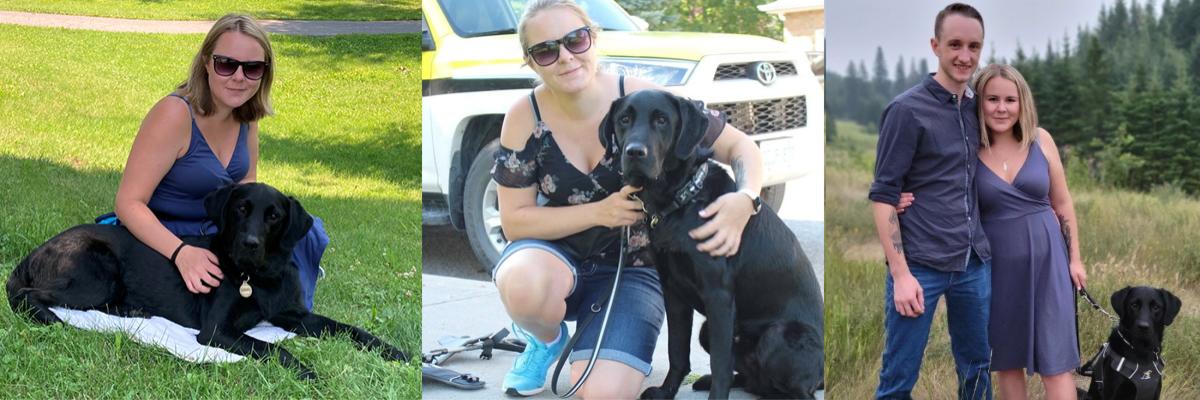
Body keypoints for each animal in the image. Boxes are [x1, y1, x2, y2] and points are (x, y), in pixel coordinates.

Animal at [4, 182, 410, 379]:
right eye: (241, 209)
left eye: (274, 216)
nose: (250, 244)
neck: (259, 277)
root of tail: (37, 250)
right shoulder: (216, 331)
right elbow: (273, 348)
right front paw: (307, 372)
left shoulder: (294, 315)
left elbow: (352, 329)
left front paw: (399, 354)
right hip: (96, 273)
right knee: (27, 295)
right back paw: (53, 318)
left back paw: (131, 311)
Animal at [600, 90, 825, 398]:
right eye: (624, 119)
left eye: (662, 120)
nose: (634, 152)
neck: (682, 200)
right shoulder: (672, 290)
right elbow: (677, 350)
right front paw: (666, 391)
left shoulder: (718, 296)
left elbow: (720, 364)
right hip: (707, 331)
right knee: (753, 380)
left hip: (776, 335)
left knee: (796, 391)